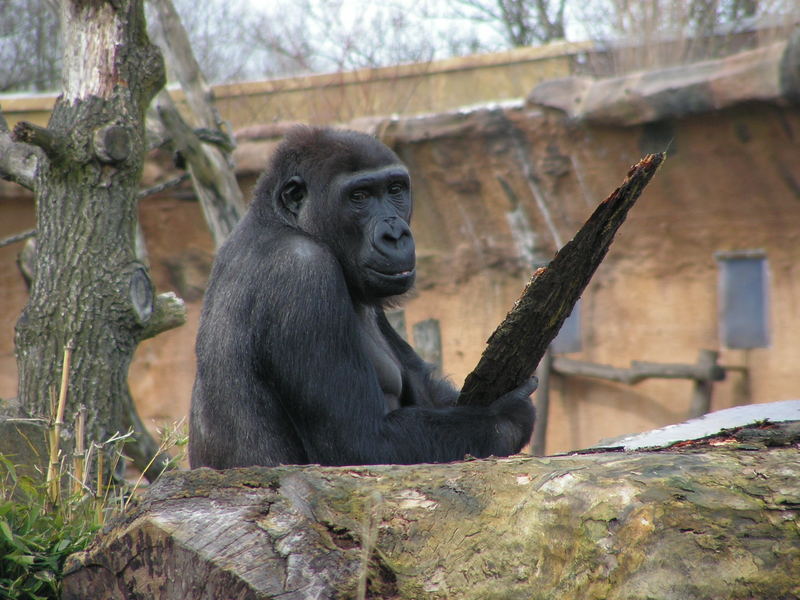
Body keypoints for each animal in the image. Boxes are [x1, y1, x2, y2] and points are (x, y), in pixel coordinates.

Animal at [189, 124, 536, 466]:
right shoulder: (302, 273)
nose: (395, 234)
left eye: (395, 190)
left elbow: (424, 386)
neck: (283, 220)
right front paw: (505, 416)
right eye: (359, 196)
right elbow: (360, 442)